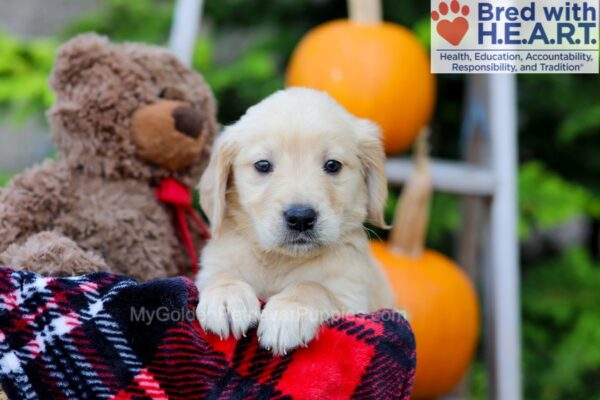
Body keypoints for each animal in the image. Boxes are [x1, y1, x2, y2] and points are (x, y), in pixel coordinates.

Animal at [197, 86, 394, 354]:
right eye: (263, 165)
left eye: (333, 165)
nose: (301, 217)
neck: (280, 261)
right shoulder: (209, 268)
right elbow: (221, 274)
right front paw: (226, 296)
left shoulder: (353, 299)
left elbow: (312, 286)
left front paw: (288, 311)